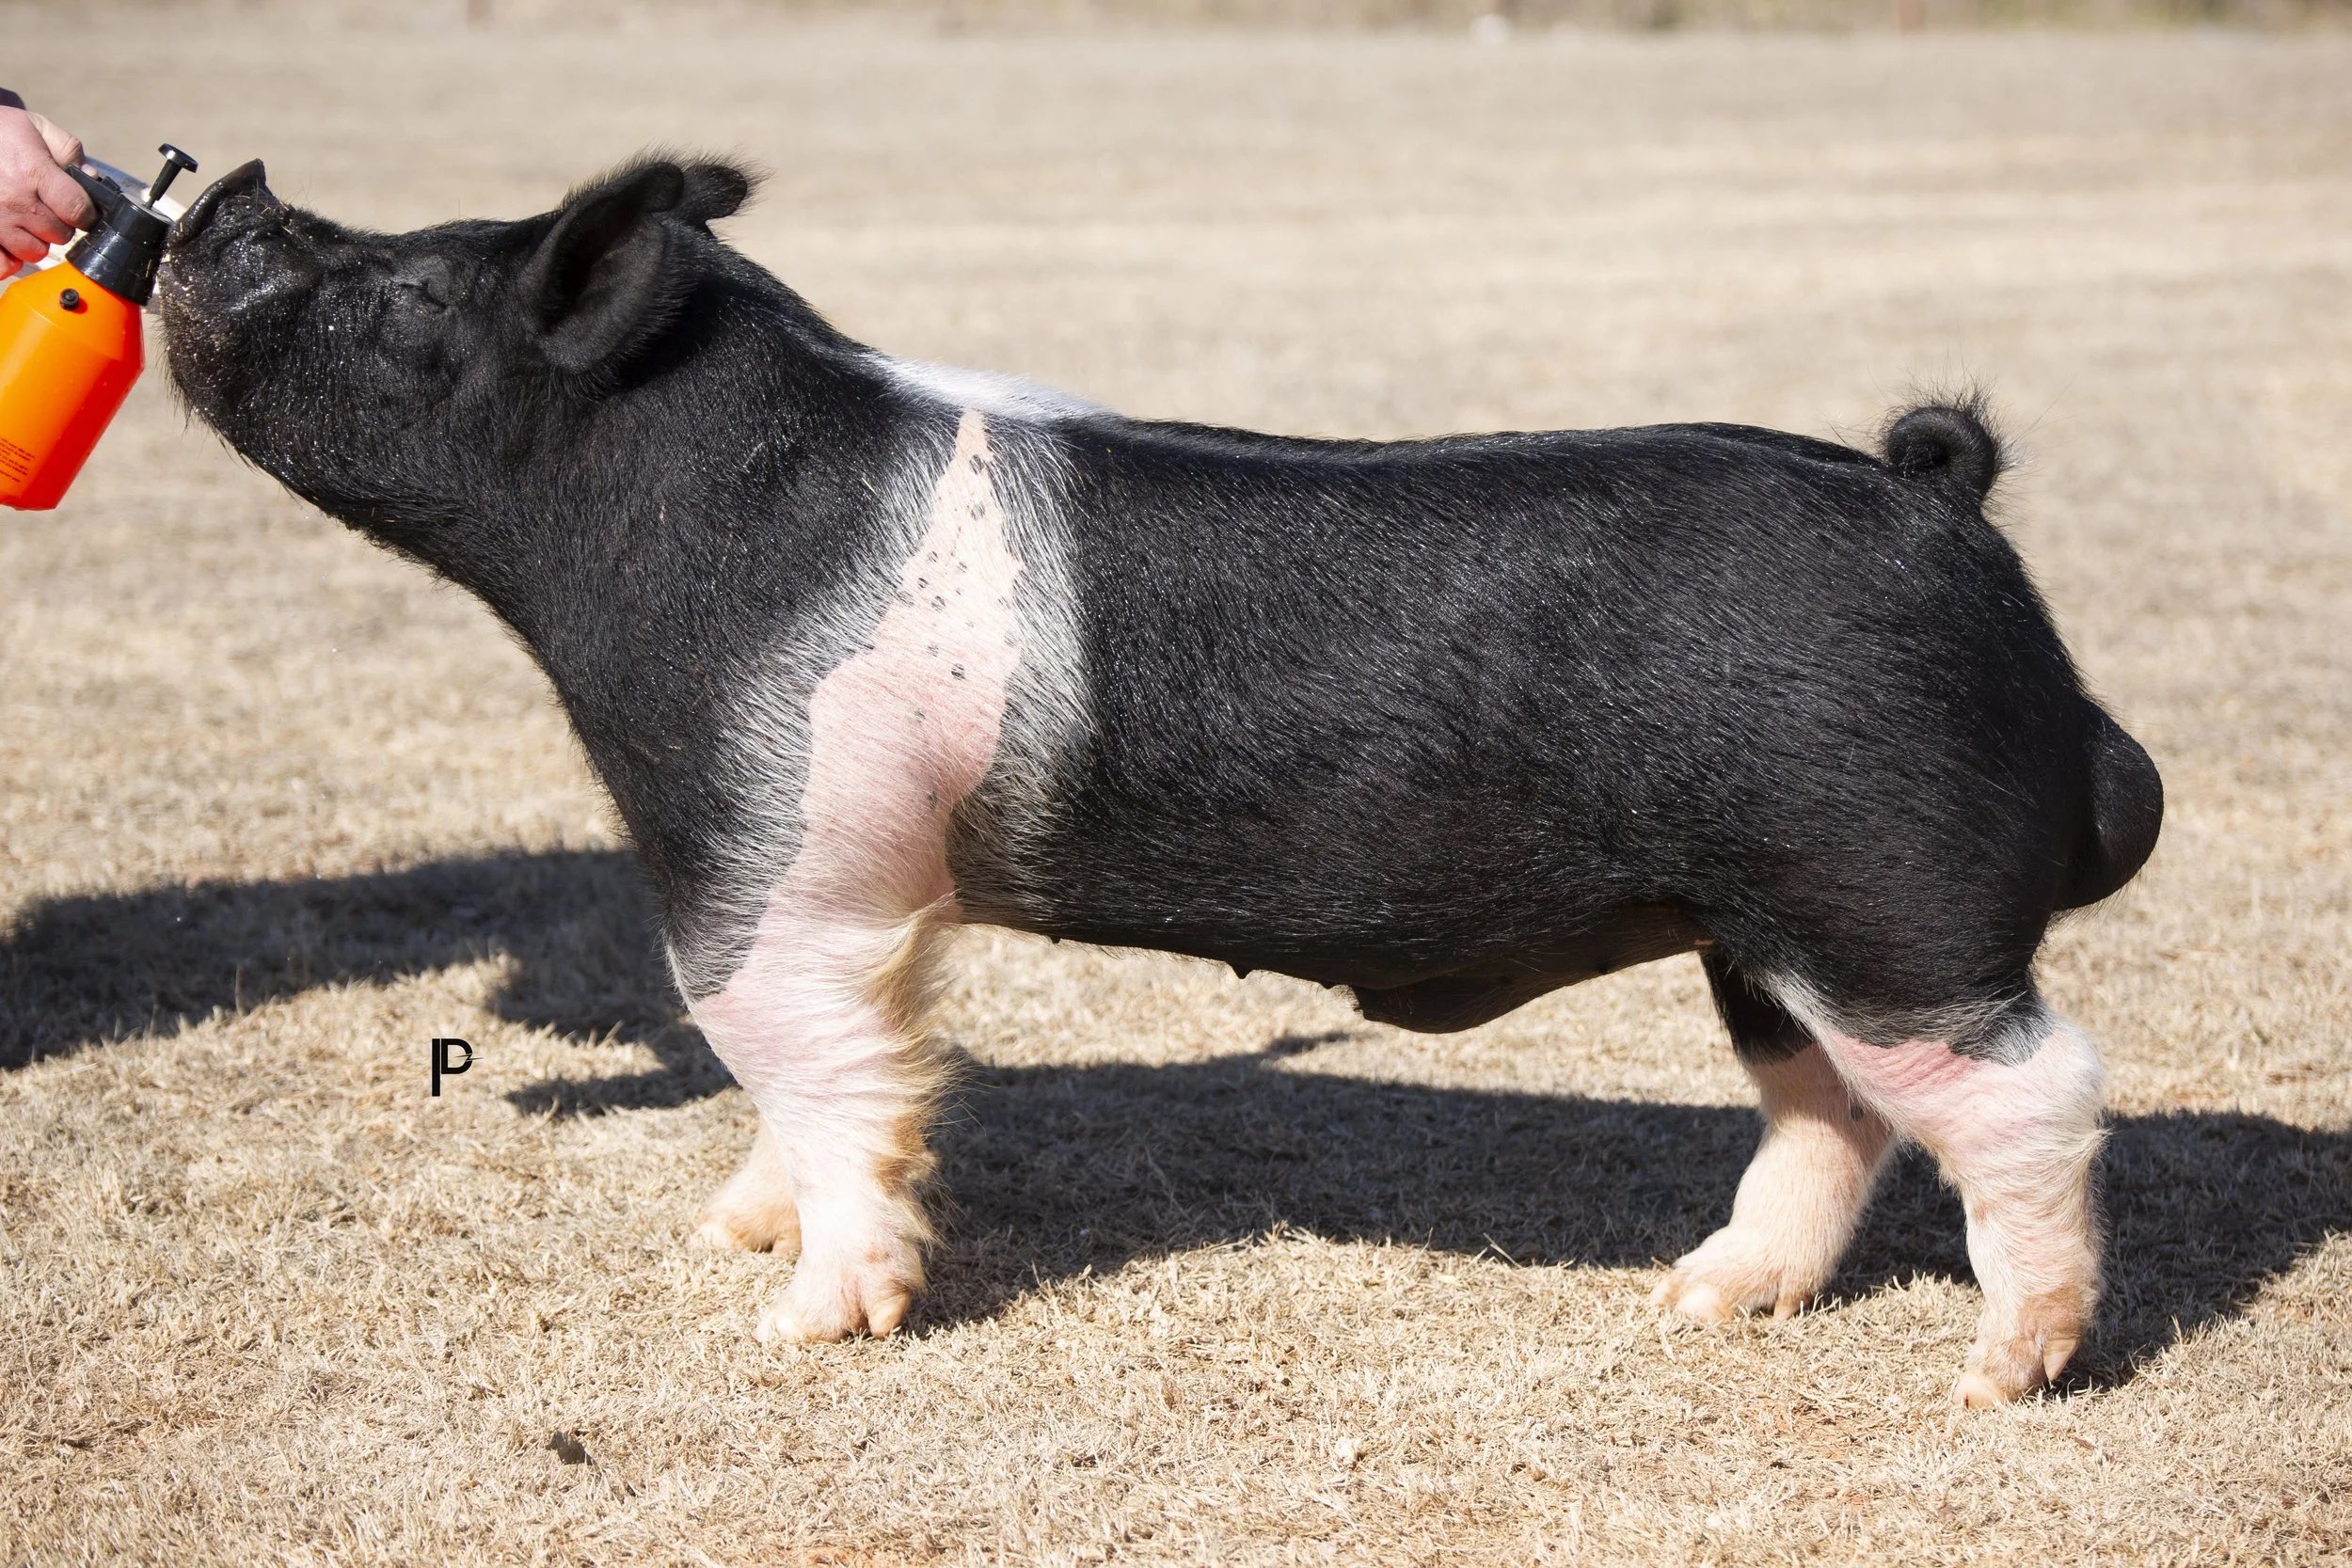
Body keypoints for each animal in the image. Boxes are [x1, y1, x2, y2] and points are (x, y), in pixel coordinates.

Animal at [159, 156, 2162, 1407]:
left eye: (412, 287)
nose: (221, 189)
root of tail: (1939, 504)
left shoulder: (767, 853)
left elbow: (797, 1060)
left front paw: (797, 1322)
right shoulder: (848, 884)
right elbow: (839, 1069)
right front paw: (733, 1223)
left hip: (1879, 894)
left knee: (2034, 1092)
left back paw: (2002, 1372)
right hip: (1761, 925)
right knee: (1830, 1104)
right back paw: (1705, 1298)